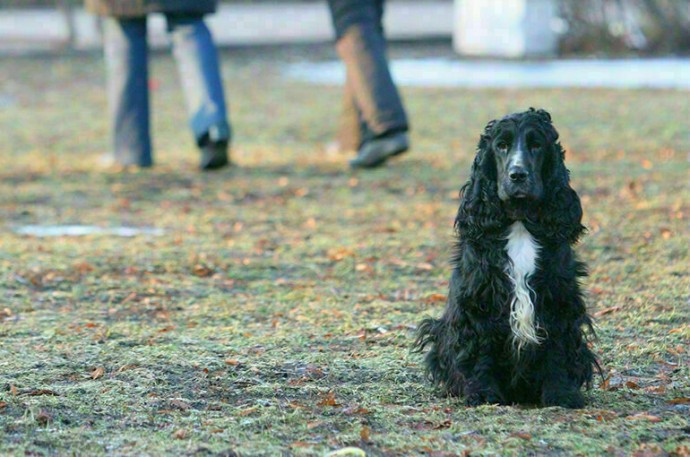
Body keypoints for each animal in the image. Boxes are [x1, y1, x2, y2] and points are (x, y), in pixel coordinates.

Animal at [414, 108, 596, 408]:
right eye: (501, 146)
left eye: (536, 145)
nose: (517, 174)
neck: (520, 221)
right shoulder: (478, 299)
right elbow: (480, 350)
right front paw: (482, 393)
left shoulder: (558, 297)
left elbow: (557, 349)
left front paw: (561, 394)